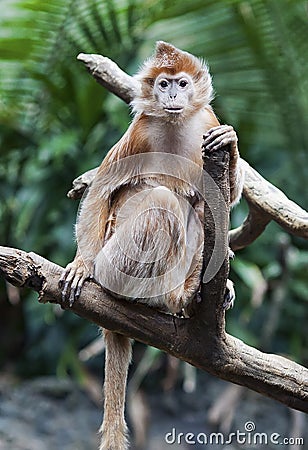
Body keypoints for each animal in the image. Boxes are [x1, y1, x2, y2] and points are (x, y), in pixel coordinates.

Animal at [59, 40, 244, 448]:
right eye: (163, 84)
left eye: (181, 83)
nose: (172, 95)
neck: (175, 125)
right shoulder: (139, 132)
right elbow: (100, 192)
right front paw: (78, 265)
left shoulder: (207, 121)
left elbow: (229, 196)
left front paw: (232, 141)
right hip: (114, 264)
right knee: (163, 199)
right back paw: (172, 298)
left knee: (198, 203)